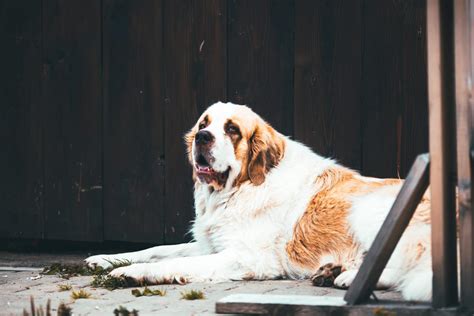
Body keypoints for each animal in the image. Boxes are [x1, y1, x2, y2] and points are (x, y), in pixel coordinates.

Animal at [85, 101, 434, 302]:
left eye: (232, 130)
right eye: (203, 124)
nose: (202, 138)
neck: (238, 189)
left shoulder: (246, 257)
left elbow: (175, 262)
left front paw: (133, 273)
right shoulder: (211, 244)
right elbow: (157, 249)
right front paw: (106, 258)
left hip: (368, 210)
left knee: (406, 260)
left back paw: (348, 277)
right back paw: (331, 271)